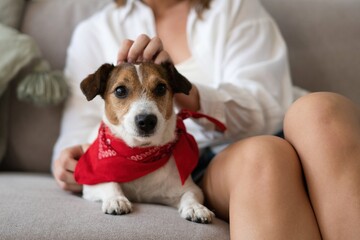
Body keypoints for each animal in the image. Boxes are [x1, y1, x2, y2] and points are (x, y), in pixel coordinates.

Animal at [75, 61, 217, 223]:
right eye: (120, 90)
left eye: (161, 88)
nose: (147, 120)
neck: (139, 155)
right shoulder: (91, 182)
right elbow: (108, 182)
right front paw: (116, 199)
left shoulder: (191, 188)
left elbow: (190, 195)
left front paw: (196, 207)